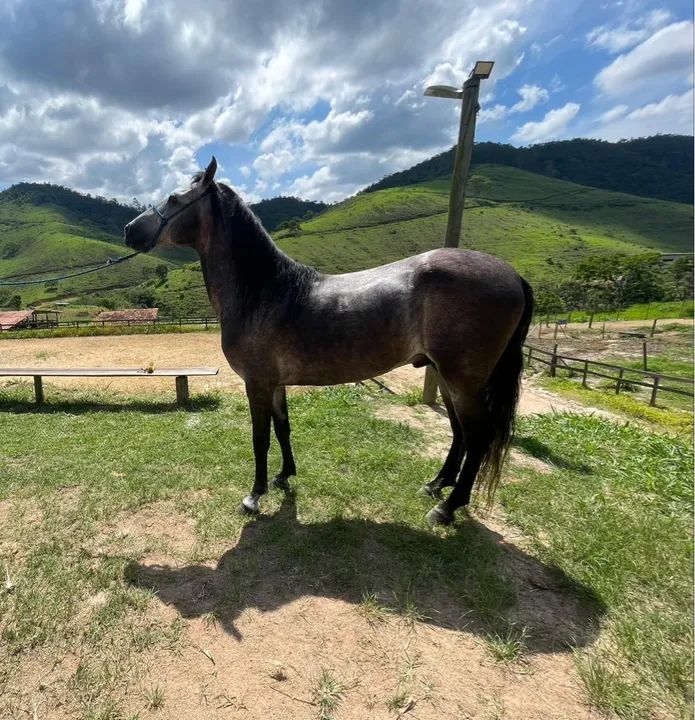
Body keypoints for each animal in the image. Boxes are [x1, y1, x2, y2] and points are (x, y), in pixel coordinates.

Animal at [124, 157, 534, 525]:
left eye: (174, 198)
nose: (129, 230)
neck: (265, 291)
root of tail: (513, 275)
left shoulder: (257, 383)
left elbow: (260, 437)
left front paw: (254, 495)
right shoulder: (276, 384)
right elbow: (283, 428)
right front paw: (284, 477)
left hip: (462, 380)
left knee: (478, 436)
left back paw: (447, 507)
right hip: (447, 377)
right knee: (460, 433)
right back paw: (436, 485)